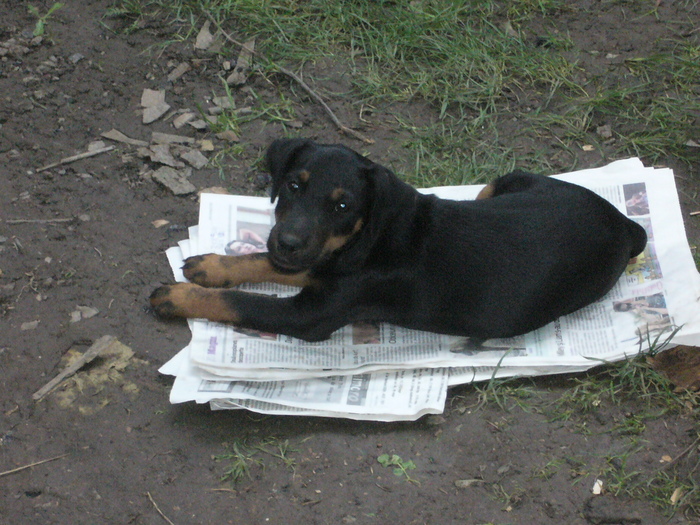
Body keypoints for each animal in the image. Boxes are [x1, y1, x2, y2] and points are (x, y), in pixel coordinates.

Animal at [150, 139, 648, 342]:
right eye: (292, 185)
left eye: (343, 205)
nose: (288, 241)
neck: (364, 239)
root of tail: (625, 224)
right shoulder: (315, 262)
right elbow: (261, 261)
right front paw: (212, 265)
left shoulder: (312, 315)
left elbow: (241, 301)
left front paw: (176, 296)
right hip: (507, 181)